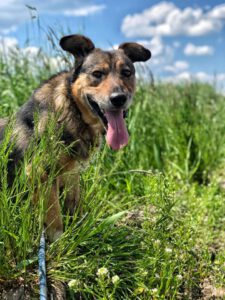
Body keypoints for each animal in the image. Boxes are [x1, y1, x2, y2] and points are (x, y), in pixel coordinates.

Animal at [0, 34, 151, 241]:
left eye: (127, 72)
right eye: (97, 74)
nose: (119, 98)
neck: (72, 111)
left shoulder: (71, 173)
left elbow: (74, 206)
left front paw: (79, 233)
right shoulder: (40, 173)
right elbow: (55, 218)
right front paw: (60, 242)